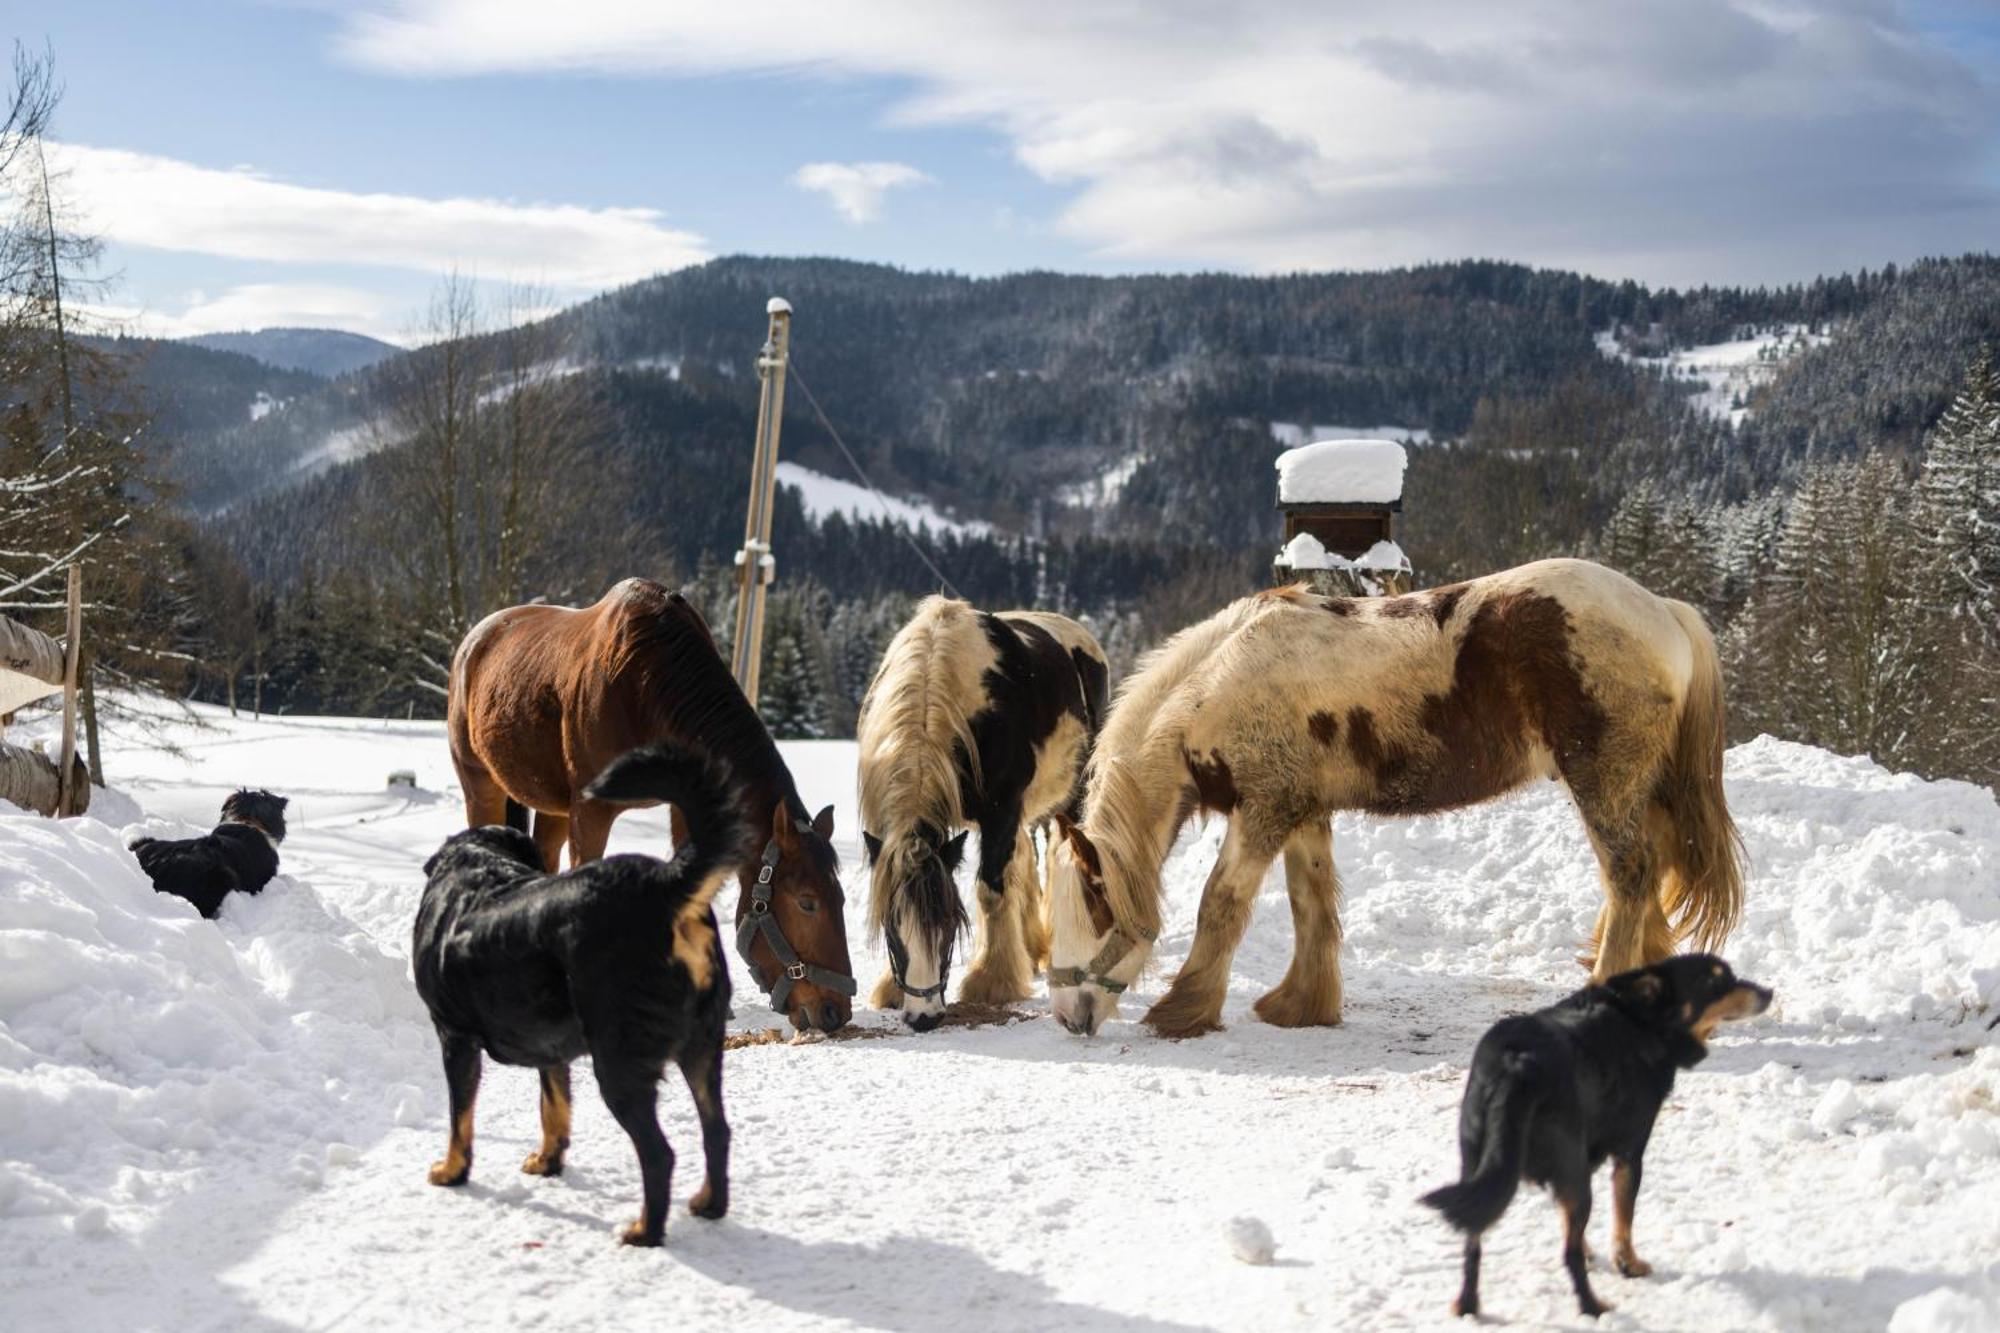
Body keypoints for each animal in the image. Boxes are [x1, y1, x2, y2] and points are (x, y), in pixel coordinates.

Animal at [410, 740, 748, 1240]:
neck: (480, 869)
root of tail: (665, 886)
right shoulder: (549, 1045)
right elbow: (554, 1107)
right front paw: (548, 1162)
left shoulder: (455, 1037)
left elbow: (460, 1118)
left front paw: (452, 1172)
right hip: (703, 1048)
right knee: (717, 1130)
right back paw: (710, 1205)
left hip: (620, 1062)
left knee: (659, 1154)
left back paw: (645, 1232)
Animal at [450, 580, 856, 1024]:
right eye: (807, 903)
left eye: (840, 898)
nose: (835, 1011)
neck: (644, 683)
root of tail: (475, 640)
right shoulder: (590, 811)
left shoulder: (685, 807)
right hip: (481, 785)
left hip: (551, 805)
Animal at [1416, 948, 1776, 1312]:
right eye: (1717, 982)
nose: (1768, 992)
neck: (1644, 1023)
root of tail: (1518, 1064)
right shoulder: (1628, 1153)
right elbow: (1623, 1219)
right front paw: (1628, 1264)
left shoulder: (1582, 1159)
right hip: (1570, 1173)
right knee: (1568, 1254)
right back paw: (1593, 1307)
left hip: (1479, 1167)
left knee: (1473, 1241)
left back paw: (1467, 1306)